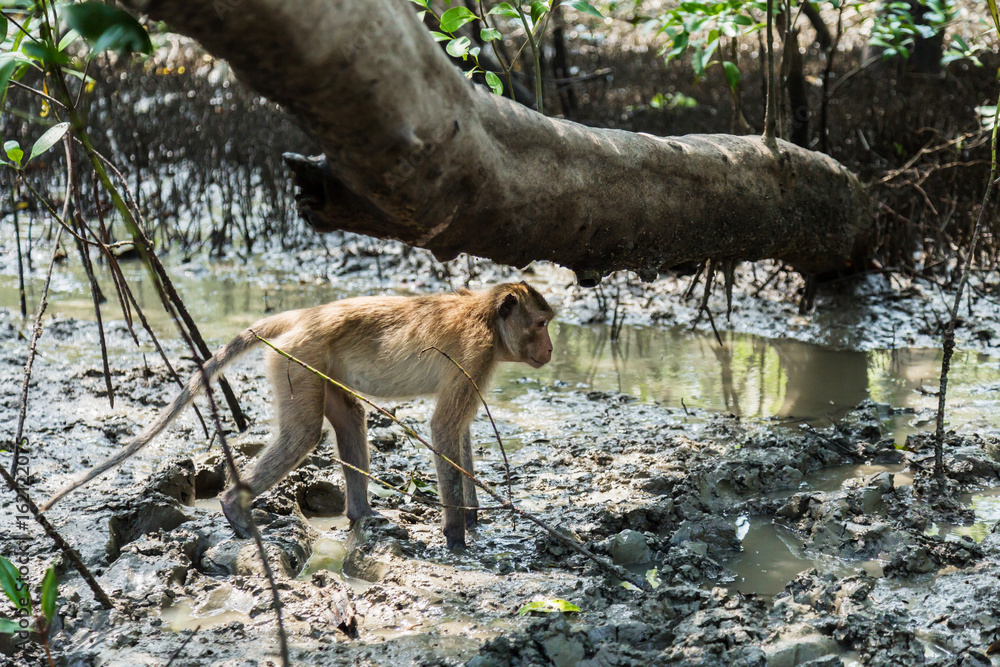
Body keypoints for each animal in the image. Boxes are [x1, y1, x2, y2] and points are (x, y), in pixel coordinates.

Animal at [45, 282, 556, 548]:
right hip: (296, 360)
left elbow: (459, 432)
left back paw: (361, 514)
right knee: (306, 433)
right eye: (542, 324)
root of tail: (304, 316)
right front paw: (455, 535)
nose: (551, 350)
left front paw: (473, 516)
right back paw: (233, 507)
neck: (486, 315)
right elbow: (445, 427)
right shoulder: (475, 350)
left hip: (313, 364)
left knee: (348, 418)